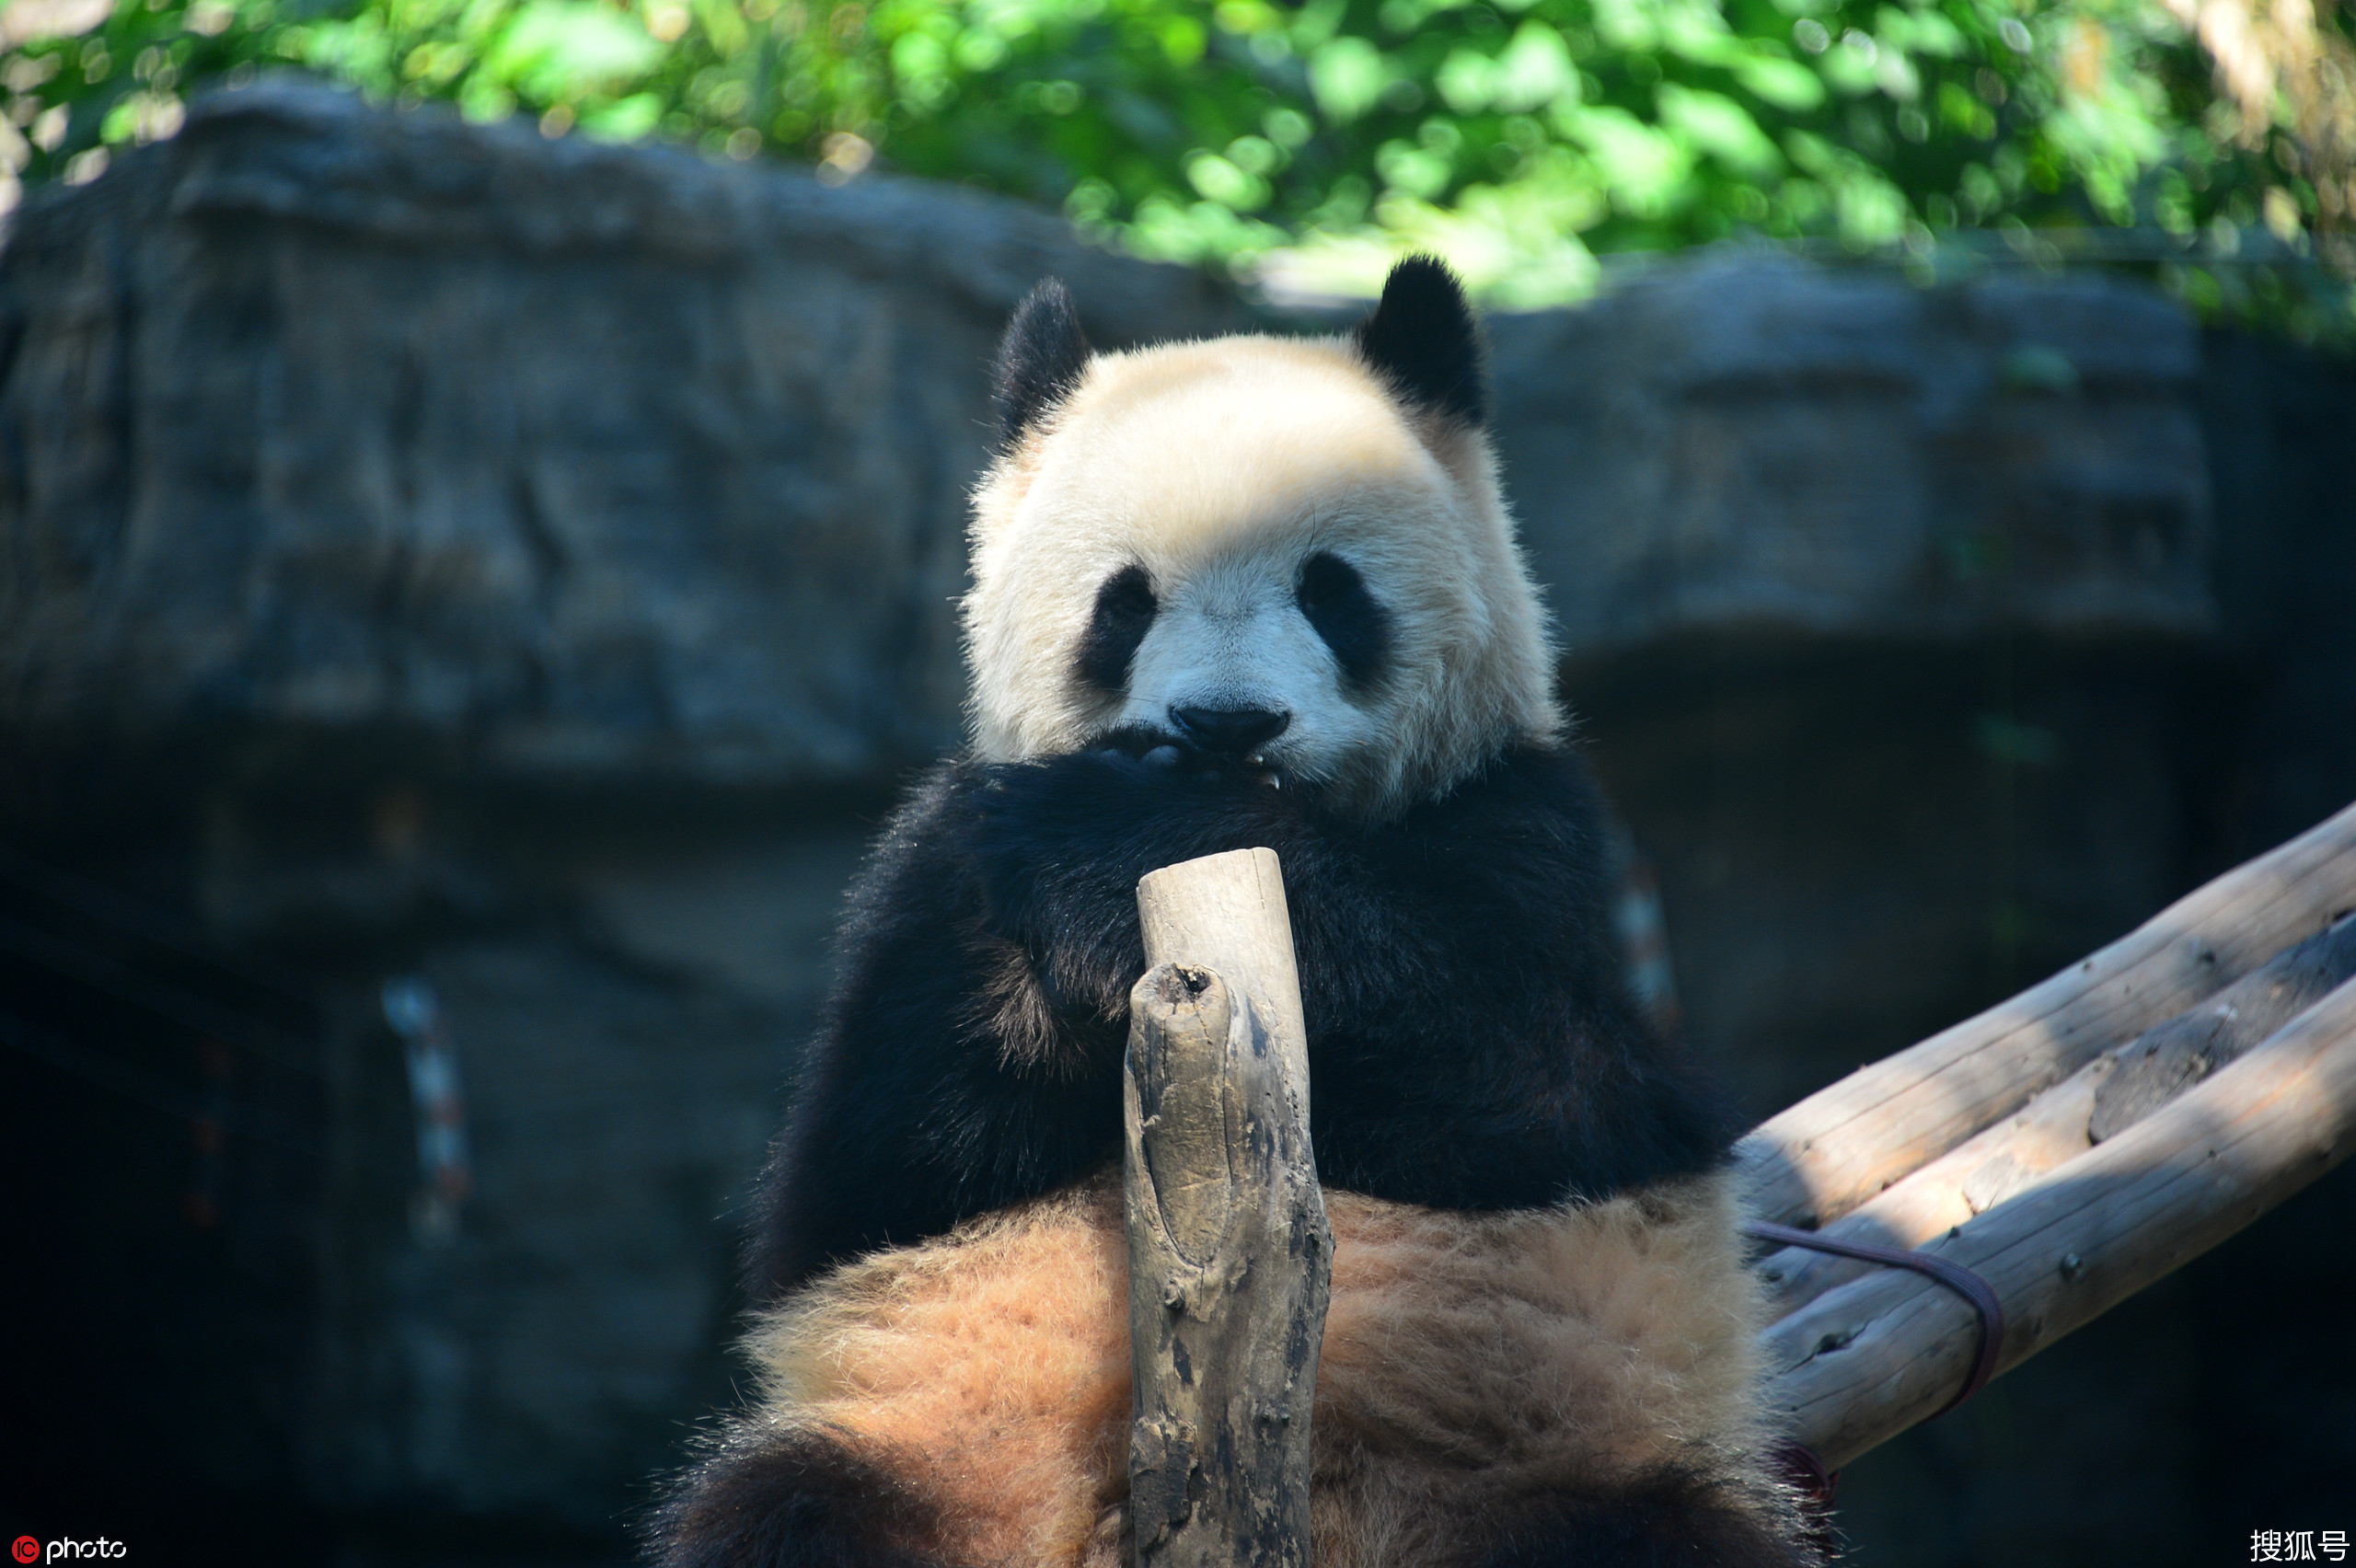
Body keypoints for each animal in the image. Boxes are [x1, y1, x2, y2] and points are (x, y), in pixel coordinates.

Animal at [654, 256, 1809, 1562]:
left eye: (1331, 591)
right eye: (1124, 603)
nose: (1226, 723)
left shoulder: (1537, 835)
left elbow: (1535, 1078)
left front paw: (1130, 827)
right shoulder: (920, 899)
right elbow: (869, 1174)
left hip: (1546, 1455)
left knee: (1647, 1531)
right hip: (946, 1455)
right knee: (794, 1507)